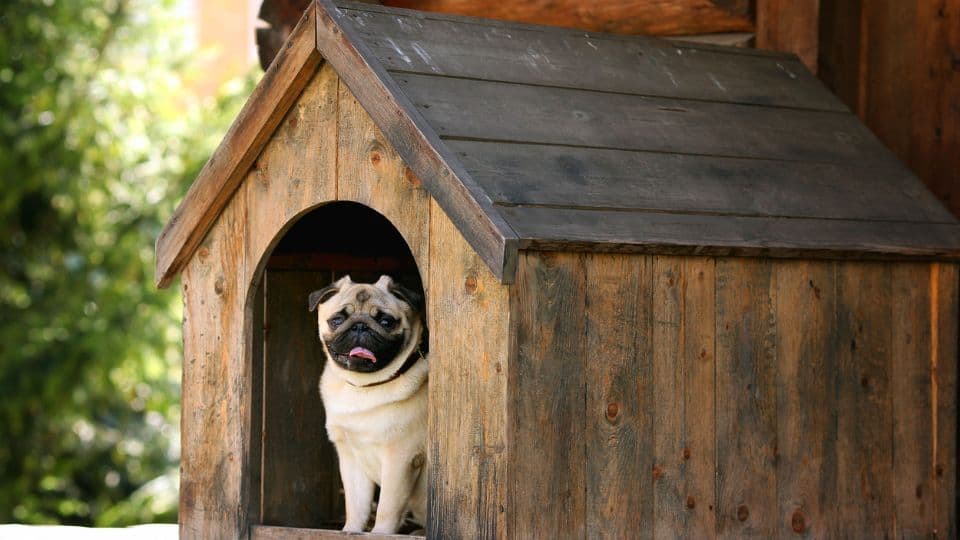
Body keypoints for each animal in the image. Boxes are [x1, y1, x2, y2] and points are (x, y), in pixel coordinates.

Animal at [310, 274, 430, 532]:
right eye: (337, 320)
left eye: (386, 322)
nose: (360, 326)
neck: (364, 387)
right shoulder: (351, 459)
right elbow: (356, 505)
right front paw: (351, 531)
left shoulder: (400, 459)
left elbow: (387, 507)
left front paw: (381, 533)